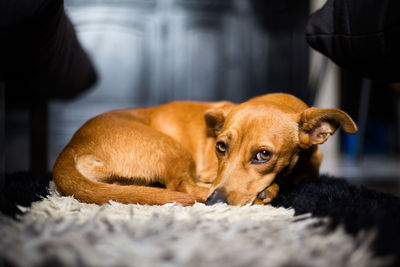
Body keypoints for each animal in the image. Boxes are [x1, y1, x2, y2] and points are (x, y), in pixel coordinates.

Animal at [52, 94, 356, 207]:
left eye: (263, 155)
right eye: (220, 146)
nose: (216, 201)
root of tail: (72, 144)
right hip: (171, 149)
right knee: (182, 186)